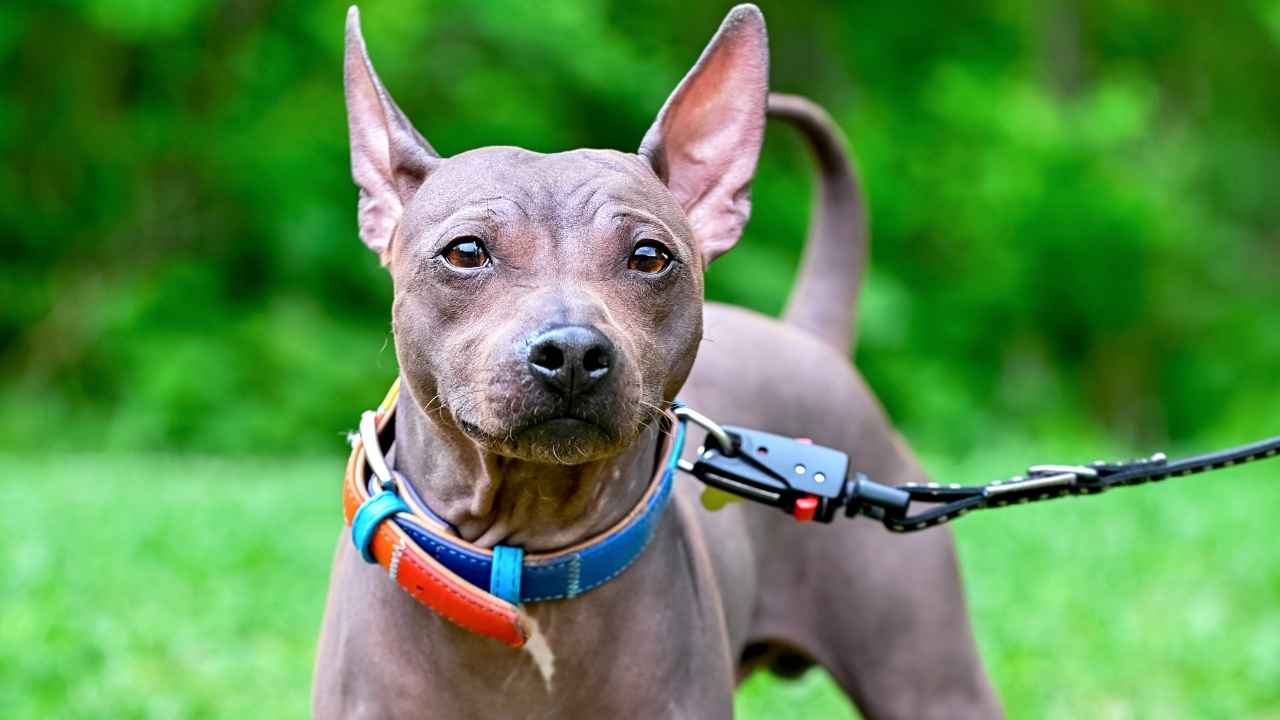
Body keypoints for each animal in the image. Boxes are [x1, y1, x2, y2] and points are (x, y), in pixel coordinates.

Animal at [314, 5, 1003, 717]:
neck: (526, 562)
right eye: (466, 252)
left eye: (649, 257)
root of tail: (807, 338)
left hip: (933, 687)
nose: (571, 351)